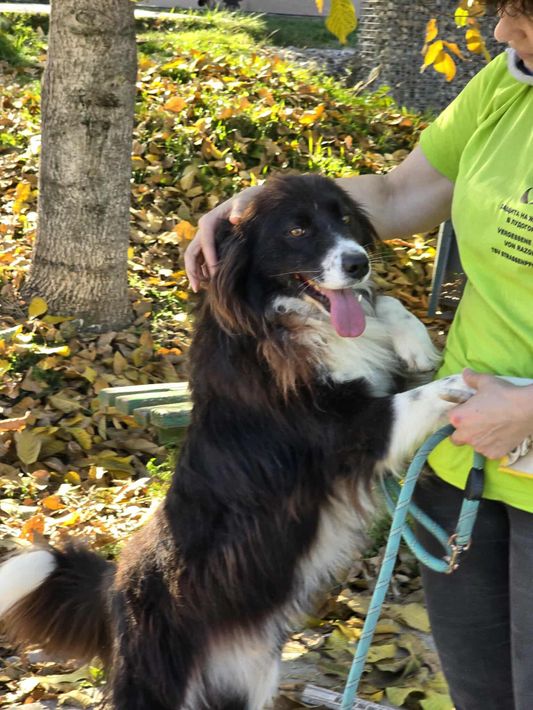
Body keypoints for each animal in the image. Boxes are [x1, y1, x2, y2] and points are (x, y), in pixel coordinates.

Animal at [0, 174, 473, 710]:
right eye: (296, 229)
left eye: (345, 219)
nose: (359, 263)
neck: (281, 316)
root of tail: (112, 585)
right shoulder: (346, 433)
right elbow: (414, 399)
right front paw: (468, 387)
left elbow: (387, 311)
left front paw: (417, 343)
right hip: (159, 679)